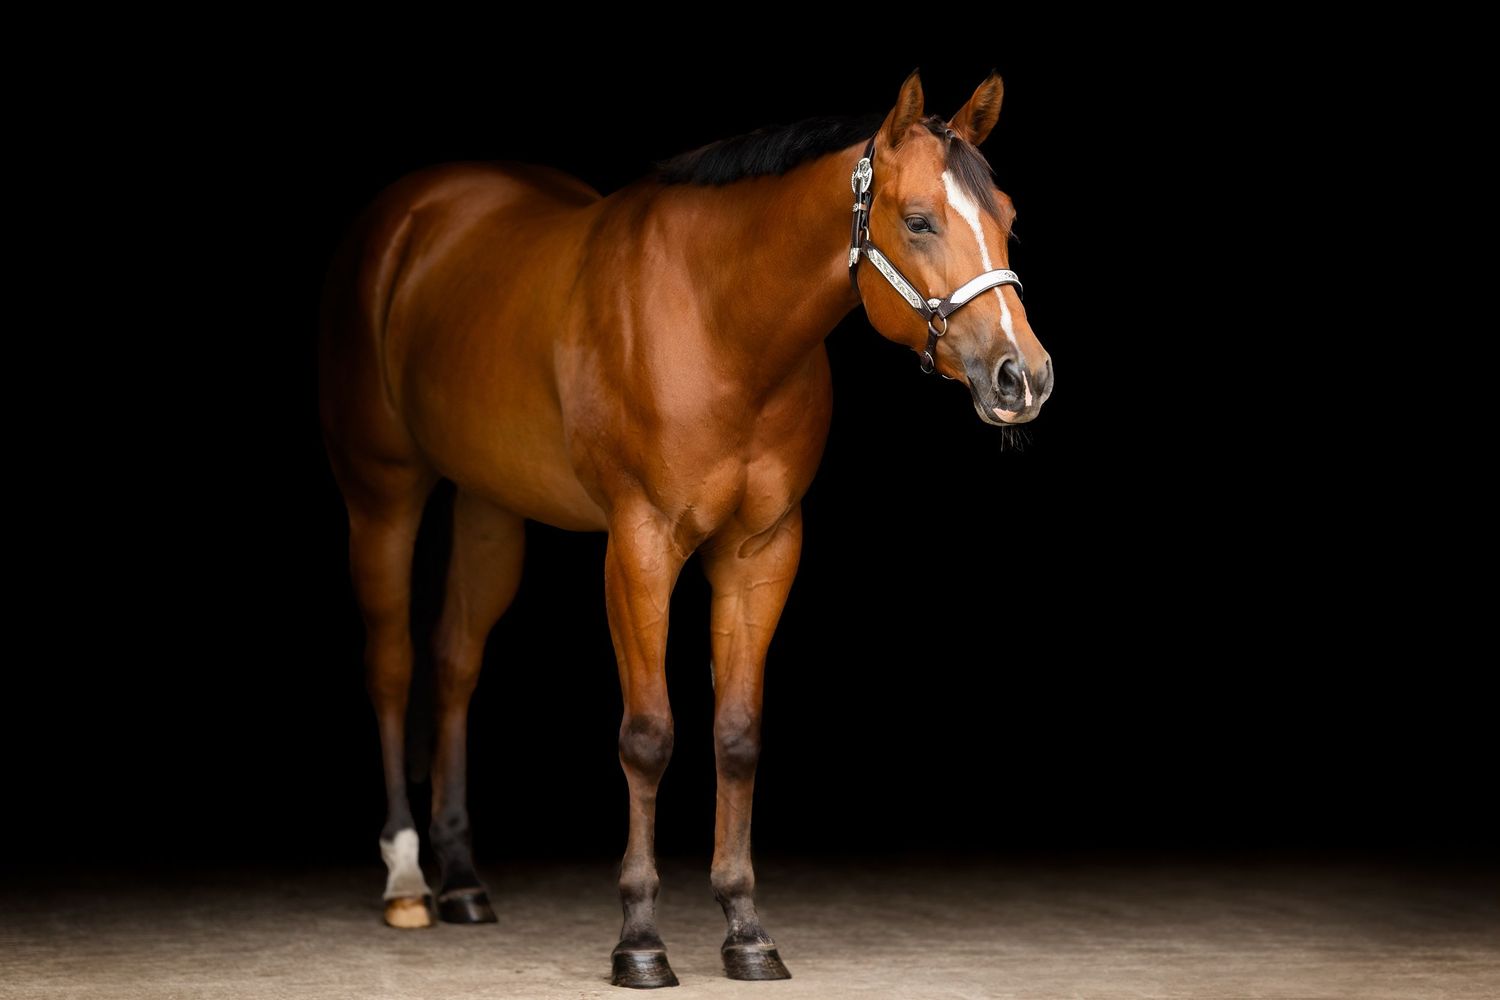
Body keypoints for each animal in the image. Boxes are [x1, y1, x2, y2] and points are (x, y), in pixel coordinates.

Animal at [318, 70, 1051, 989]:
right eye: (919, 219)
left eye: (1008, 217)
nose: (1024, 377)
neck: (719, 321)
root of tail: (411, 215)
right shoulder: (639, 545)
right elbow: (648, 736)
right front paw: (639, 938)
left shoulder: (761, 550)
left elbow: (736, 735)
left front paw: (746, 928)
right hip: (383, 493)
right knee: (391, 665)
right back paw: (409, 878)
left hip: (490, 507)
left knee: (454, 664)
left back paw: (462, 881)